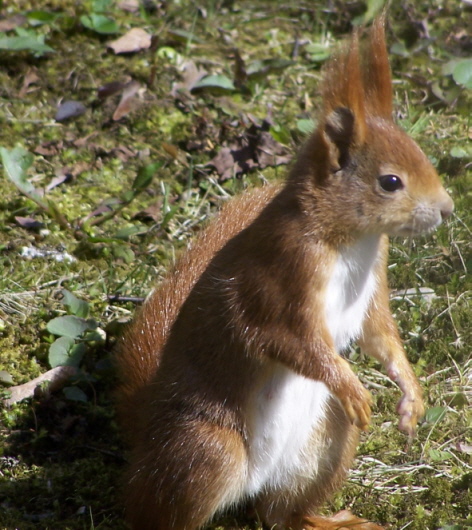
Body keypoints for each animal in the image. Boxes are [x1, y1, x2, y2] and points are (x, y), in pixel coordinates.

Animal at [115, 16, 454, 528]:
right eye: (390, 181)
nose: (448, 209)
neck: (352, 241)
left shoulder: (374, 281)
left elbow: (381, 336)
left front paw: (410, 395)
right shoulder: (283, 269)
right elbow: (285, 338)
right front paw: (351, 385)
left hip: (325, 443)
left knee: (282, 514)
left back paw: (328, 520)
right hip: (207, 448)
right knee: (157, 510)